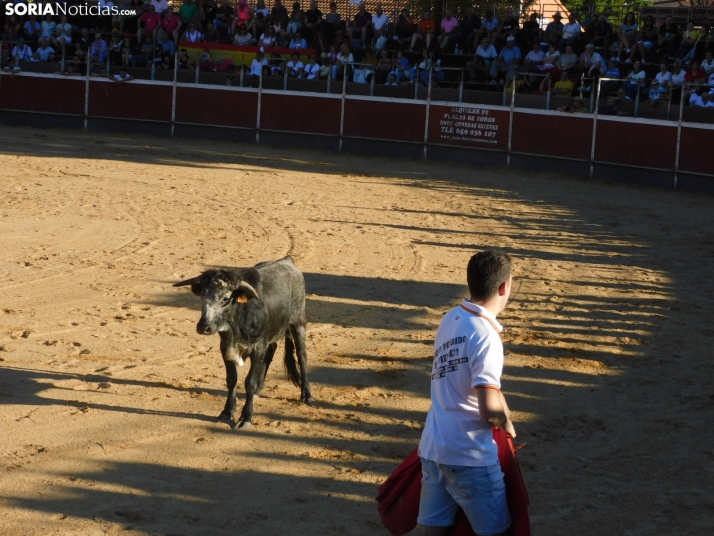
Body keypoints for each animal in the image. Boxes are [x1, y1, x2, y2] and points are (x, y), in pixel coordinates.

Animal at [172, 258, 312, 430]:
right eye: (202, 296)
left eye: (225, 299)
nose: (204, 327)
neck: (238, 319)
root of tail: (288, 261)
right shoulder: (226, 347)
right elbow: (232, 379)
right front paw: (227, 412)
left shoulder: (258, 348)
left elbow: (249, 382)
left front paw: (246, 417)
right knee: (272, 351)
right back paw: (259, 389)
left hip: (299, 322)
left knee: (301, 354)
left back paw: (307, 395)